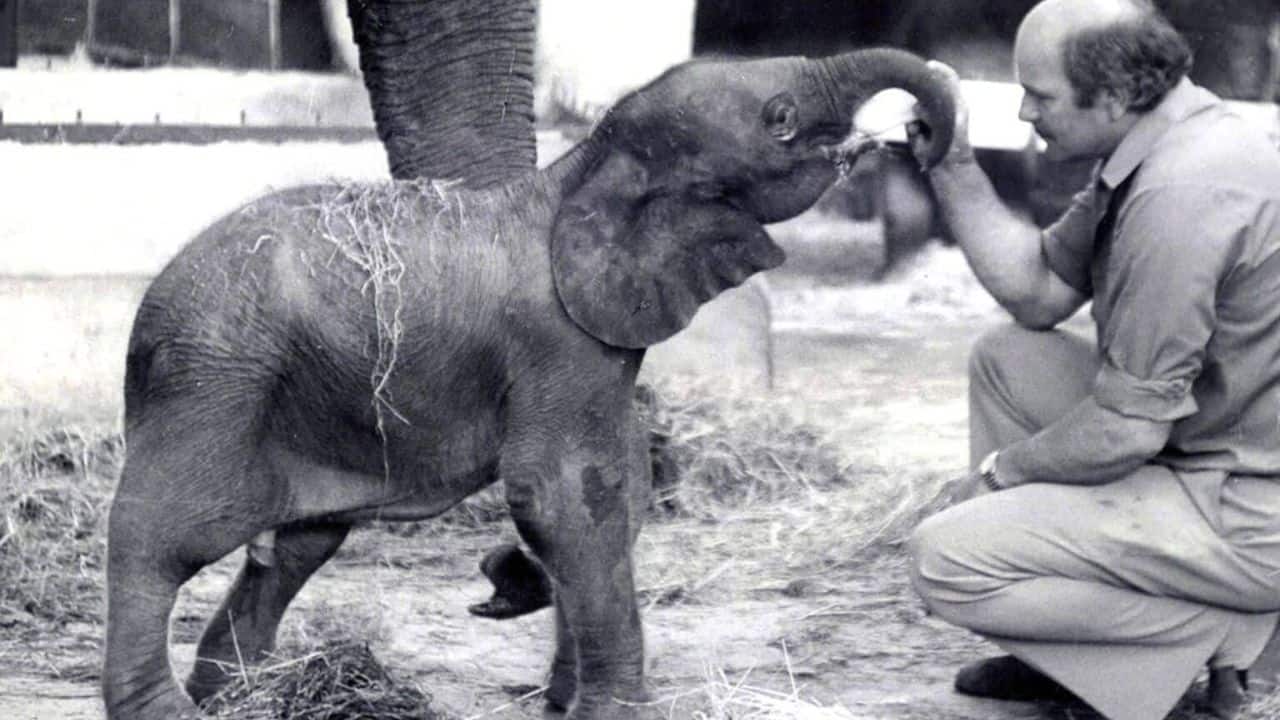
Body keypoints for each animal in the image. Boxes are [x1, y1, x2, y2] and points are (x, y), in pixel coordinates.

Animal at [100, 46, 955, 720]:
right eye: (779, 118)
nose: (921, 137)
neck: (577, 173)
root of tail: (144, 319)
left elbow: (617, 484)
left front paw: (553, 673)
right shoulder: (554, 341)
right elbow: (564, 494)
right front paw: (608, 708)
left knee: (297, 544)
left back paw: (242, 694)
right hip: (216, 378)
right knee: (165, 537)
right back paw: (171, 710)